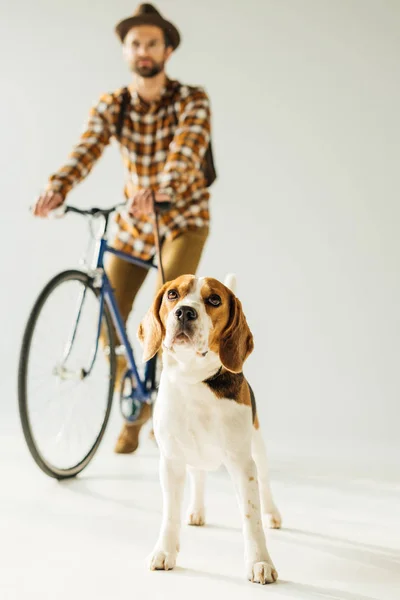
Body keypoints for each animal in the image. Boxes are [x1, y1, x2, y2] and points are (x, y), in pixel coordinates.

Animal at [139, 274, 280, 584]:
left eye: (214, 299)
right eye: (172, 294)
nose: (184, 312)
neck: (193, 379)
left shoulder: (242, 464)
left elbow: (251, 518)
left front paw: (260, 561)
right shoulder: (171, 461)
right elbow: (170, 513)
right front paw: (165, 551)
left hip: (257, 448)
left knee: (263, 484)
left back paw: (272, 513)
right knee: (199, 476)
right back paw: (196, 511)